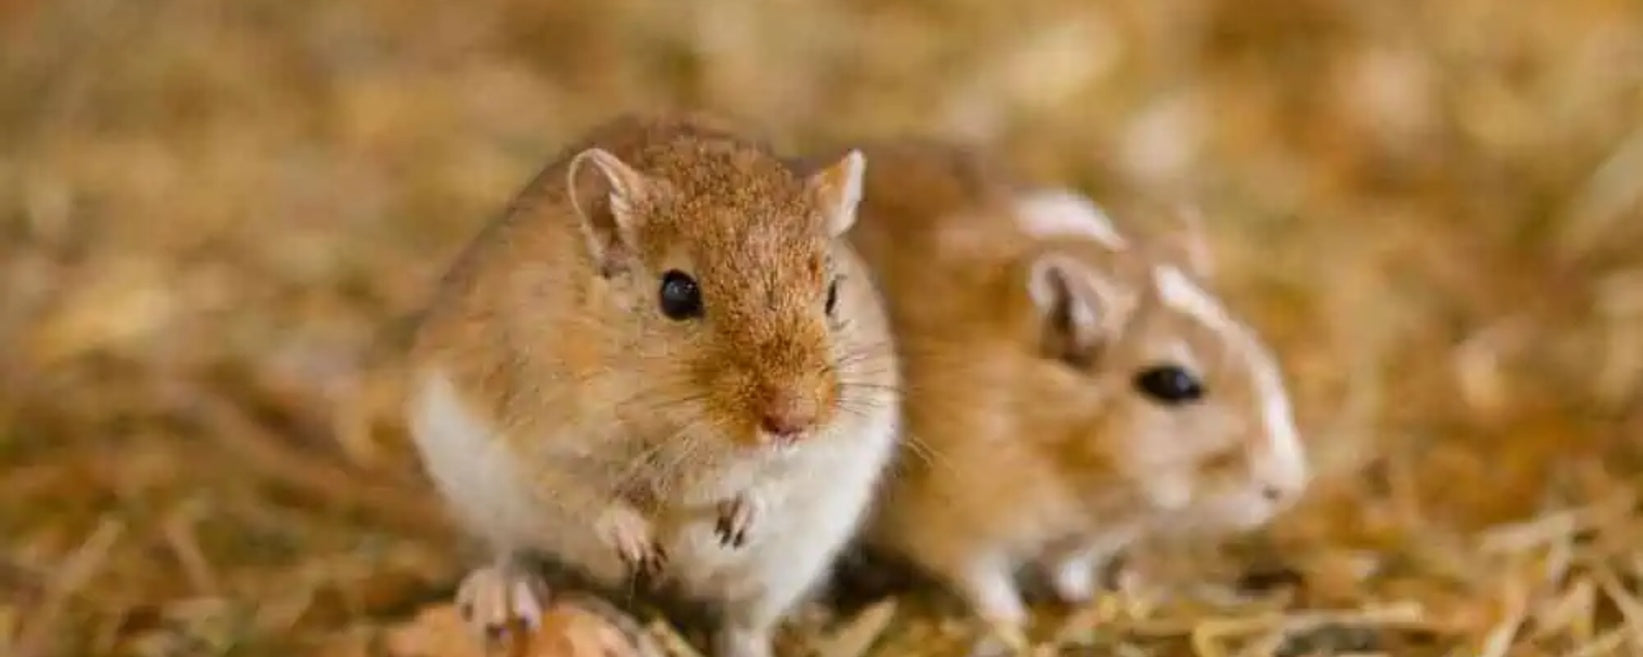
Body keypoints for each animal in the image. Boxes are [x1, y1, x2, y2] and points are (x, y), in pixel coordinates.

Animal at [404, 115, 900, 657]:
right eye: (677, 293)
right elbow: (587, 497)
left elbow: (780, 478)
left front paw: (736, 521)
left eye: (832, 294)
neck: (687, 425)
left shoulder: (834, 449)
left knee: (742, 626)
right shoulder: (541, 445)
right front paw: (643, 552)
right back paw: (505, 598)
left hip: (783, 569)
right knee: (511, 554)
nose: (793, 421)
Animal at [841, 140, 1308, 640]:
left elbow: (1072, 567)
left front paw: (1090, 599)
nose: (1288, 489)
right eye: (1173, 384)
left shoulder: (1093, 535)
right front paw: (1016, 629)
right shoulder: (960, 524)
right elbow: (987, 583)